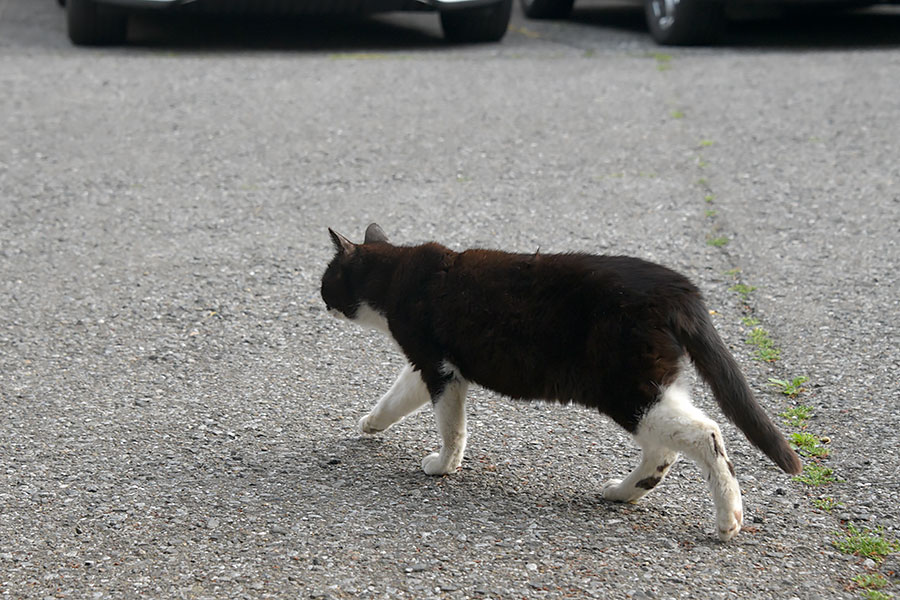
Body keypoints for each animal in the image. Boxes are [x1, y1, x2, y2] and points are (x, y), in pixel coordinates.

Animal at [322, 223, 800, 540]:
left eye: (326, 279)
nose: (320, 298)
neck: (396, 276)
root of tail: (678, 287)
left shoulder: (437, 366)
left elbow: (451, 427)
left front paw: (443, 465)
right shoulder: (435, 366)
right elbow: (398, 396)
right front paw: (371, 422)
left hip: (625, 387)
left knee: (705, 433)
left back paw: (727, 518)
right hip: (652, 385)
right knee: (665, 448)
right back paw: (624, 492)